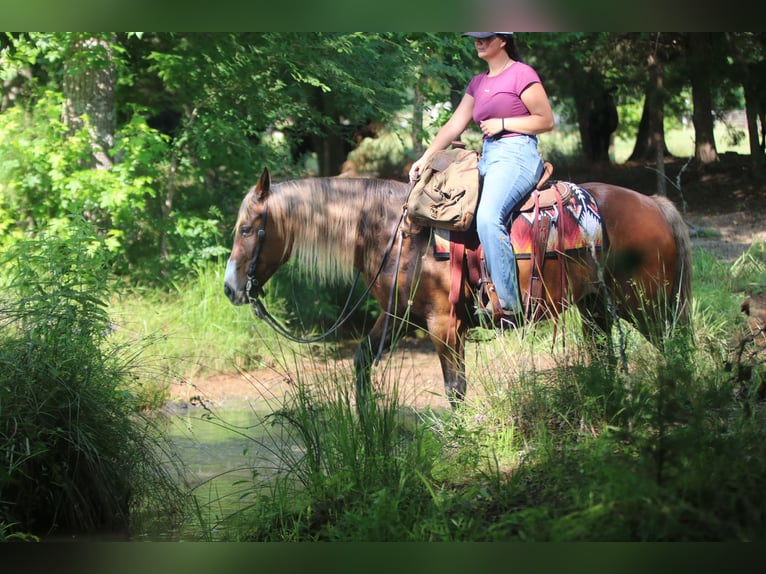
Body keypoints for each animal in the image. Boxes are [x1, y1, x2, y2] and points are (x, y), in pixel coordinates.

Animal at [224, 167, 692, 407]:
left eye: (247, 229)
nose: (230, 289)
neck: (399, 235)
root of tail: (654, 204)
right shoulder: (396, 318)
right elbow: (361, 365)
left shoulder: (444, 326)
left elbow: (455, 390)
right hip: (596, 307)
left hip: (644, 304)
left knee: (672, 347)